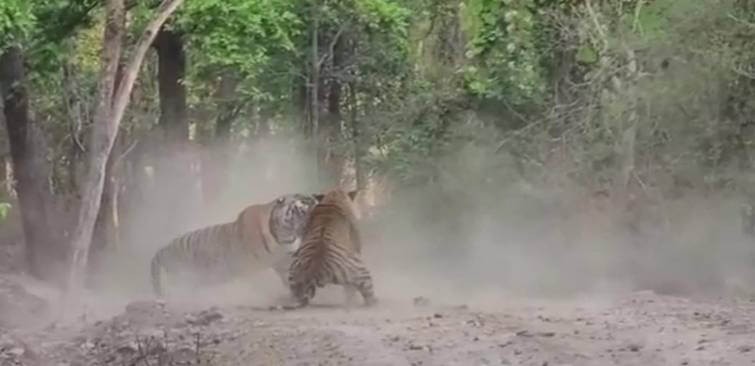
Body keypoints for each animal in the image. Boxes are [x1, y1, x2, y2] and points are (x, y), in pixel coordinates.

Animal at [151, 193, 322, 296]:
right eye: (302, 210)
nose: (315, 225)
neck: (283, 238)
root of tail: (163, 249)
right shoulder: (247, 264)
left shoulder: (283, 262)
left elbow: (291, 276)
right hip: (185, 275)